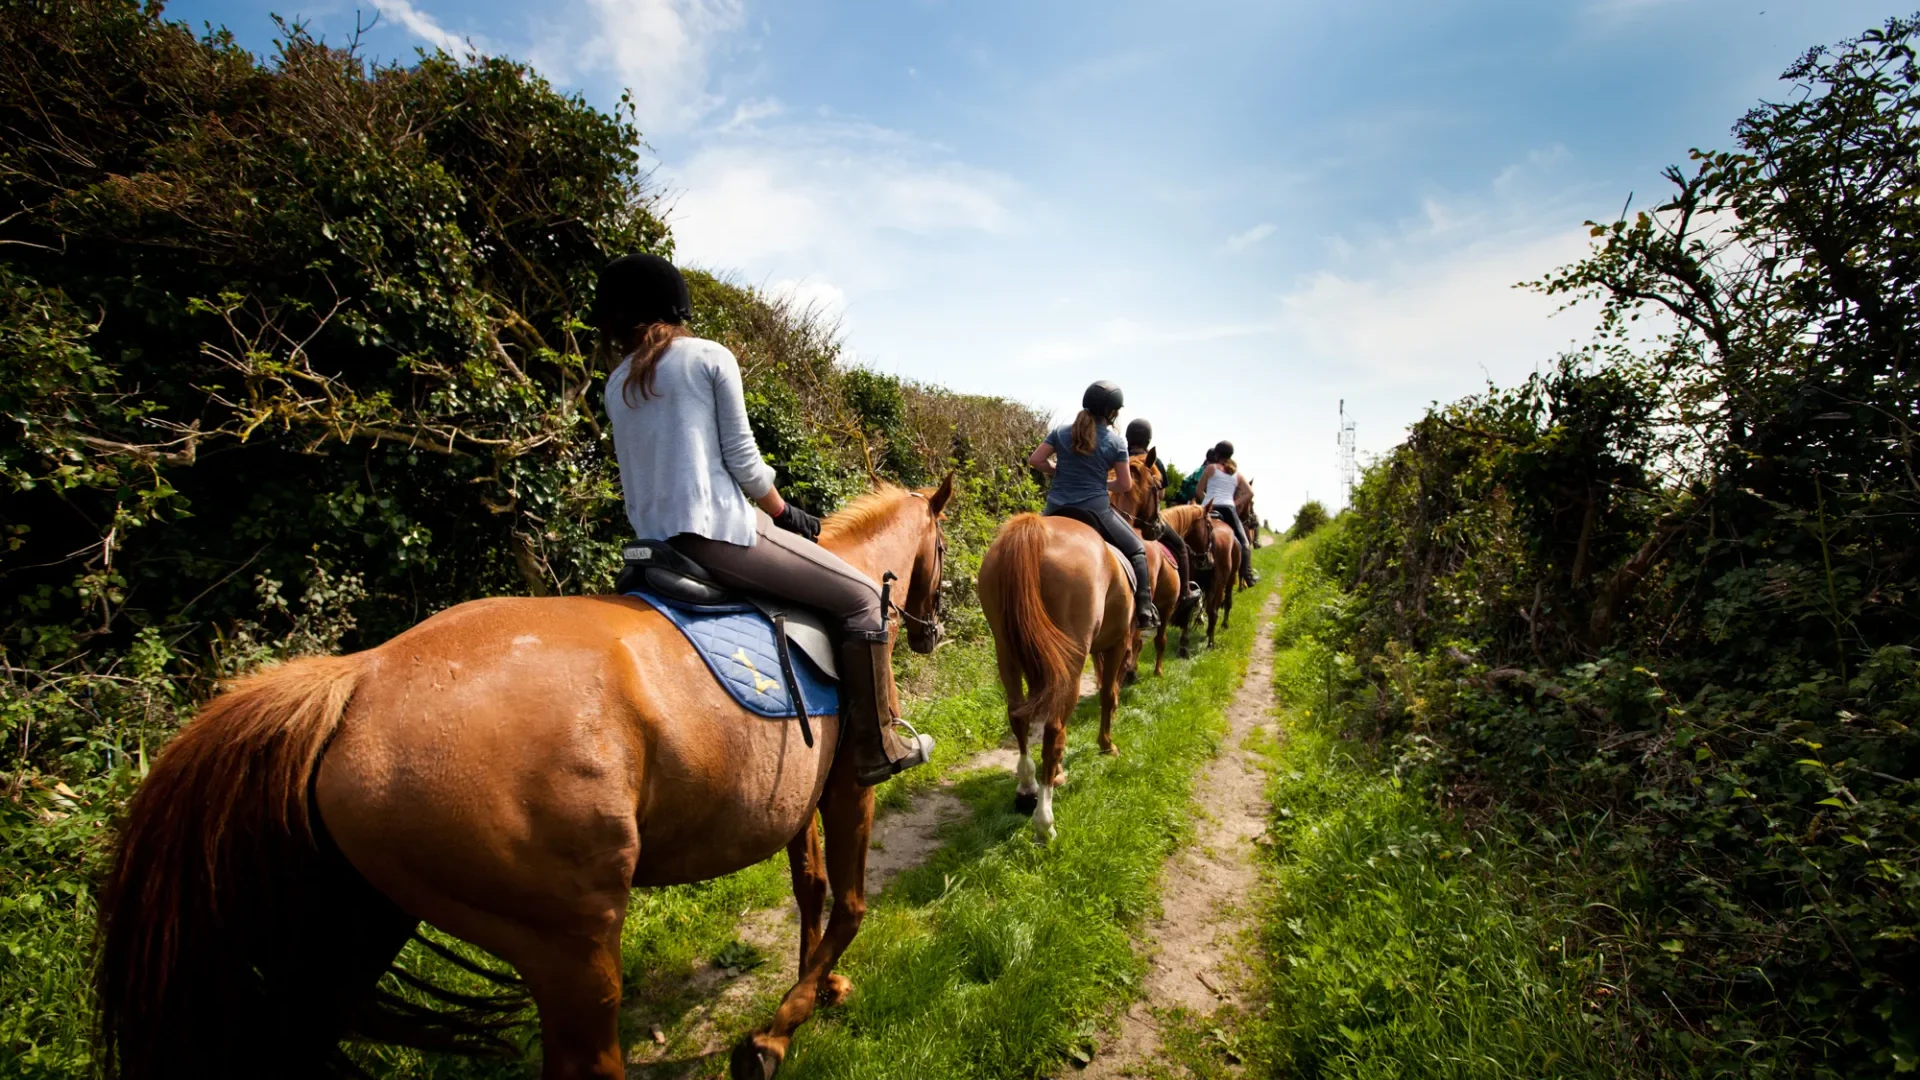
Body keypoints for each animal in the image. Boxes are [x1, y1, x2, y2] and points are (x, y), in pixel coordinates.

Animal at [93, 478, 956, 1076]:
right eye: (944, 553)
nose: (931, 631)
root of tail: (355, 679)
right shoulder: (850, 789)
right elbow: (850, 904)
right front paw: (776, 1033)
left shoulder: (802, 800)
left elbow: (811, 893)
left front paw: (815, 991)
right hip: (569, 943)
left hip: (356, 924)